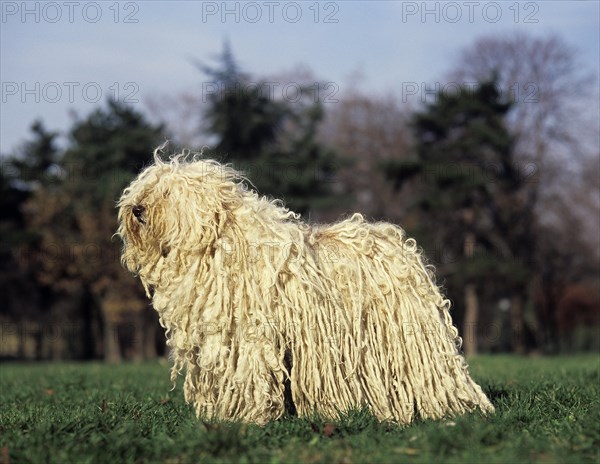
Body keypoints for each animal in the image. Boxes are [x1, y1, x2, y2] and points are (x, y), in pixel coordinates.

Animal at [116, 151, 492, 424]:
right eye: (146, 188)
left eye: (168, 192)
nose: (137, 208)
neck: (219, 243)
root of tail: (399, 244)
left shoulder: (250, 335)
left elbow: (248, 375)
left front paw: (245, 418)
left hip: (411, 338)